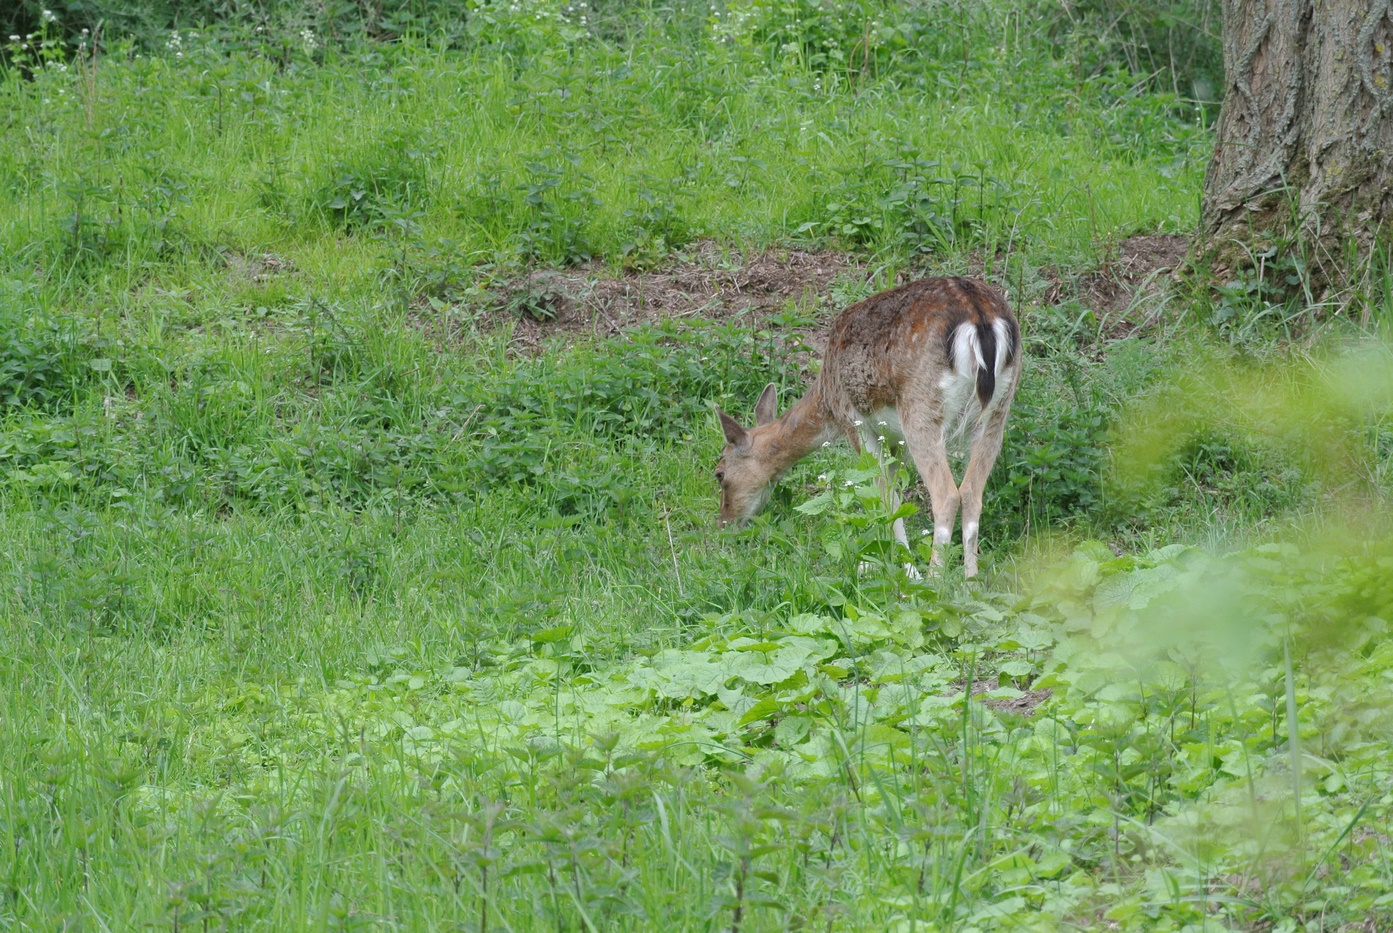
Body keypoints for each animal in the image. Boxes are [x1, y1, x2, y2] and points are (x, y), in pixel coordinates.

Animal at [718, 275, 1025, 576]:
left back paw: (935, 579)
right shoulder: (895, 441)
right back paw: (970, 580)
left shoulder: (854, 420)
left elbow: (885, 496)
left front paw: (907, 572)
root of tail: (979, 318)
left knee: (948, 494)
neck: (826, 396)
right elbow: (895, 495)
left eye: (719, 473)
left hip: (921, 410)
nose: (725, 523)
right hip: (998, 410)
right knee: (972, 492)